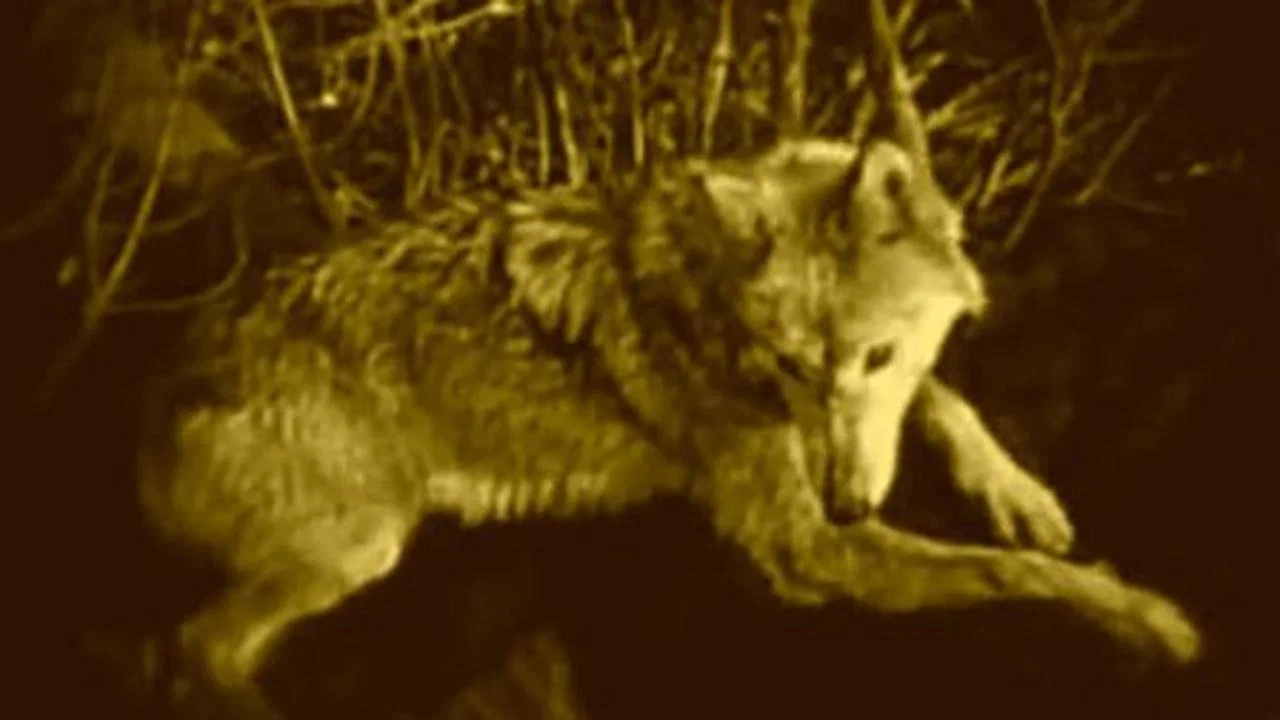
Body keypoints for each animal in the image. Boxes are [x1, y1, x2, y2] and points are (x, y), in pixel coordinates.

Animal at [135, 9, 1199, 720]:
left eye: (873, 356)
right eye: (791, 364)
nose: (849, 503)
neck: (716, 306)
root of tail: (160, 392)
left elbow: (946, 404)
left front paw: (1018, 492)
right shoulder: (806, 551)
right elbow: (1006, 575)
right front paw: (1147, 618)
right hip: (365, 545)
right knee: (190, 650)